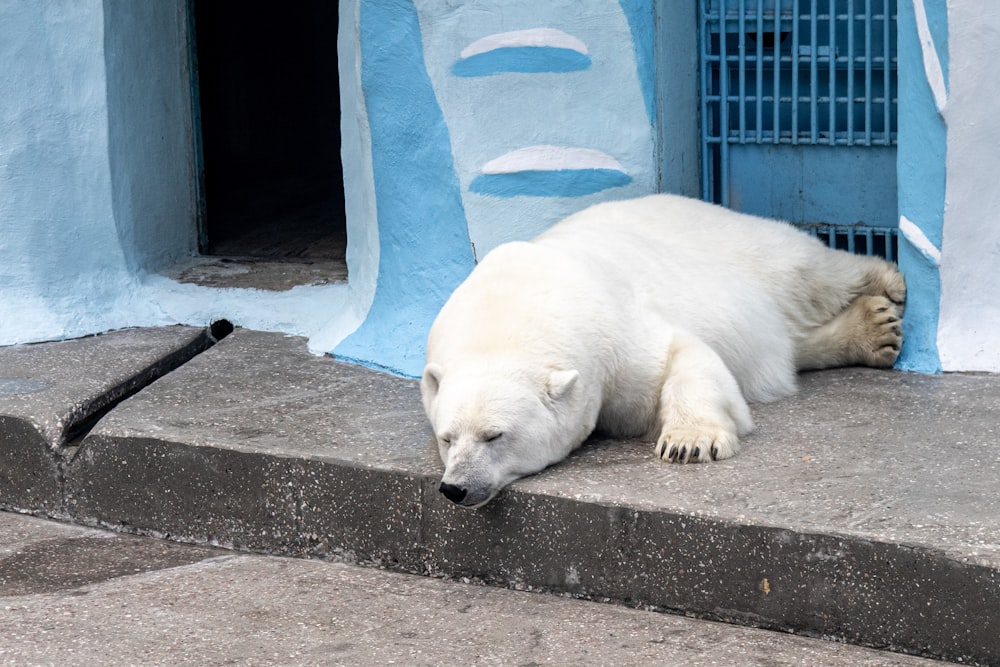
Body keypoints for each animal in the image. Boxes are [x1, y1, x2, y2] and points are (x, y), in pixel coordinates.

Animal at [422, 196, 908, 508]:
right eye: (447, 438)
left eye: (495, 435)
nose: (455, 488)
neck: (510, 310)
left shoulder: (612, 329)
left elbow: (681, 355)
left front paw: (689, 443)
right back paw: (873, 331)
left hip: (743, 249)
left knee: (806, 272)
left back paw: (887, 283)